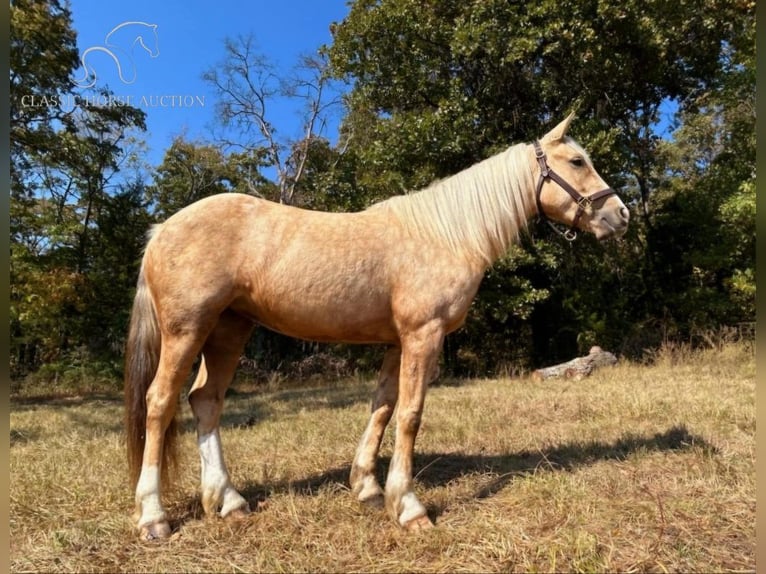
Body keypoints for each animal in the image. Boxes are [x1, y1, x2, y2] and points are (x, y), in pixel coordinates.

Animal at [124, 115, 632, 544]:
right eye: (577, 161)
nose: (621, 215)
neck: (446, 233)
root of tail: (161, 229)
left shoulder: (396, 341)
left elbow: (383, 407)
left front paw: (367, 488)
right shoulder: (423, 335)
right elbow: (410, 415)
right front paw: (408, 507)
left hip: (229, 330)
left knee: (205, 401)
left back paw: (228, 501)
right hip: (187, 330)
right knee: (160, 402)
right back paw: (153, 516)